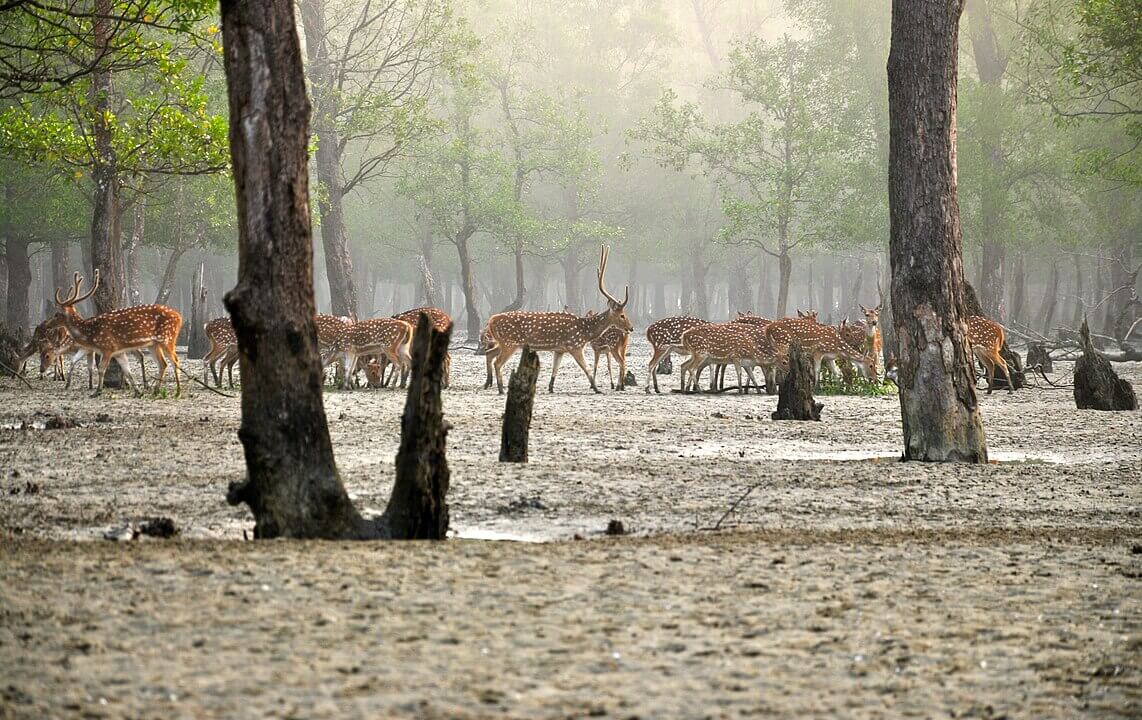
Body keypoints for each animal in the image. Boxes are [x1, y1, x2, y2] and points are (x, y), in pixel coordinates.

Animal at [46, 270, 185, 397]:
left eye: (57, 314)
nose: (47, 325)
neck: (91, 333)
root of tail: (179, 317)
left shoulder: (108, 347)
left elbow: (101, 369)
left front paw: (97, 391)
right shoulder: (118, 351)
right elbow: (127, 370)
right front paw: (138, 392)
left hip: (168, 338)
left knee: (175, 360)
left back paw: (178, 391)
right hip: (153, 344)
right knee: (163, 363)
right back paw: (156, 391)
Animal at [481, 246, 634, 395]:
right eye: (622, 315)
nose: (631, 328)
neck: (585, 332)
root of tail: (491, 320)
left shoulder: (559, 349)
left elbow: (555, 368)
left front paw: (550, 387)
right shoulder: (574, 345)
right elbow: (587, 368)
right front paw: (597, 389)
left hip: (503, 342)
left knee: (489, 354)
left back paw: (489, 384)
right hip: (510, 343)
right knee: (497, 362)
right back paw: (500, 389)